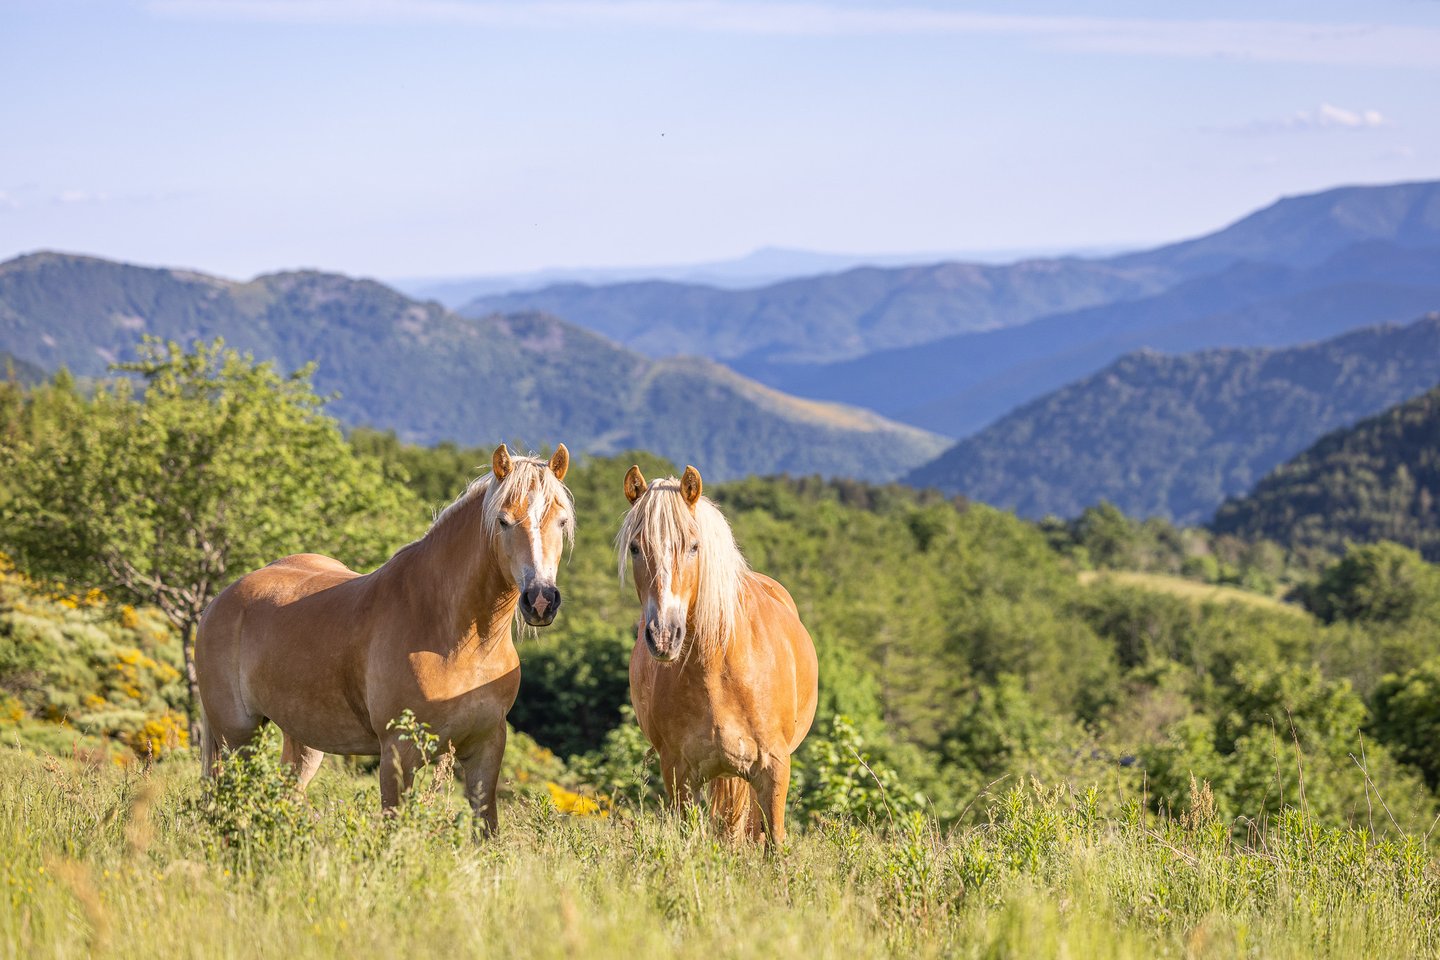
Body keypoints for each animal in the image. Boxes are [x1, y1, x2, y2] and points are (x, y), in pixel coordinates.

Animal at [195, 443, 572, 832]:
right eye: (503, 521)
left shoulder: (486, 747)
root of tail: (218, 602)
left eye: (561, 521)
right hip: (237, 737)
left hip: (302, 739)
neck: (460, 642)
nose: (540, 600)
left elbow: (486, 828)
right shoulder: (398, 752)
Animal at [619, 464, 818, 844]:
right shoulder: (679, 774)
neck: (718, 670)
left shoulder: (774, 770)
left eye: (694, 546)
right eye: (636, 548)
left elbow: (773, 840)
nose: (663, 636)